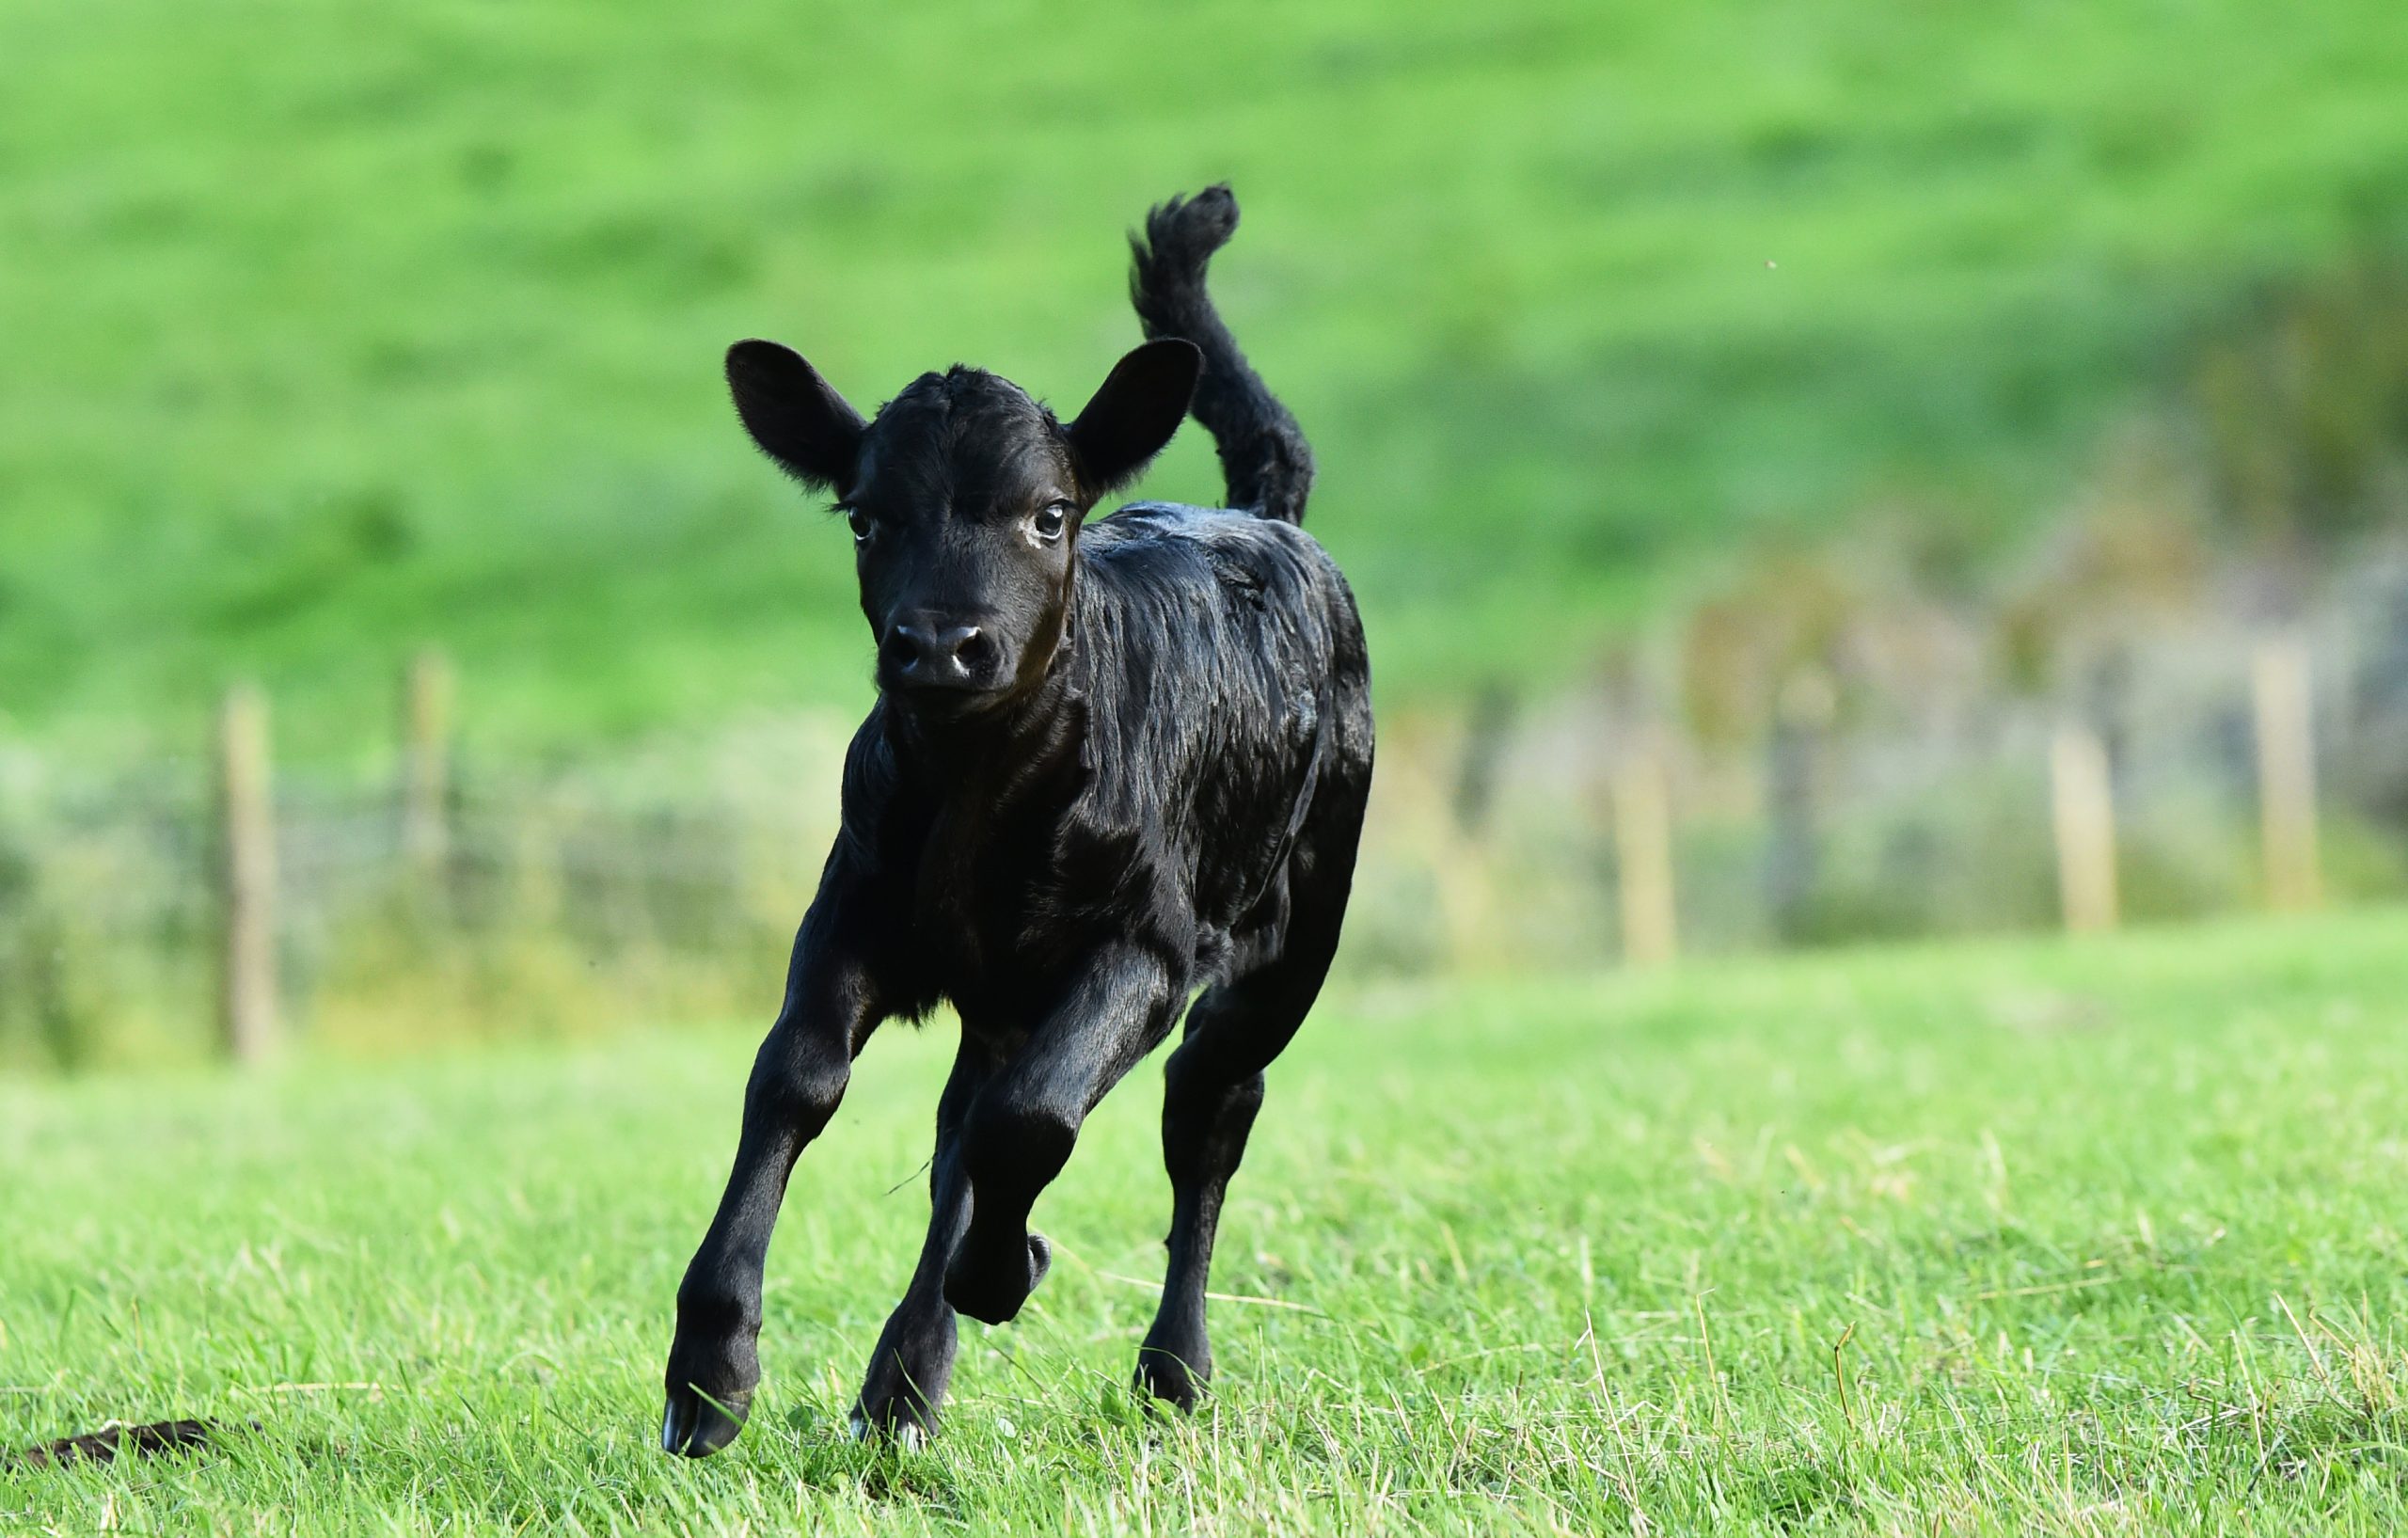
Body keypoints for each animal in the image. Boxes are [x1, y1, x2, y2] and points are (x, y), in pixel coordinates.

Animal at [659, 190, 1377, 1453]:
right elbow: (796, 1080)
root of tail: (1261, 516)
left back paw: (1170, 1370)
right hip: (1002, 990)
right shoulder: (853, 902)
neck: (978, 801)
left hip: (1293, 934)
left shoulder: (1144, 947)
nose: (942, 644)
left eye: (1050, 517)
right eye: (866, 519)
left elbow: (1032, 1124)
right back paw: (900, 1390)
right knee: (964, 1125)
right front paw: (708, 1367)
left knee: (1206, 1109)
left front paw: (1007, 1272)